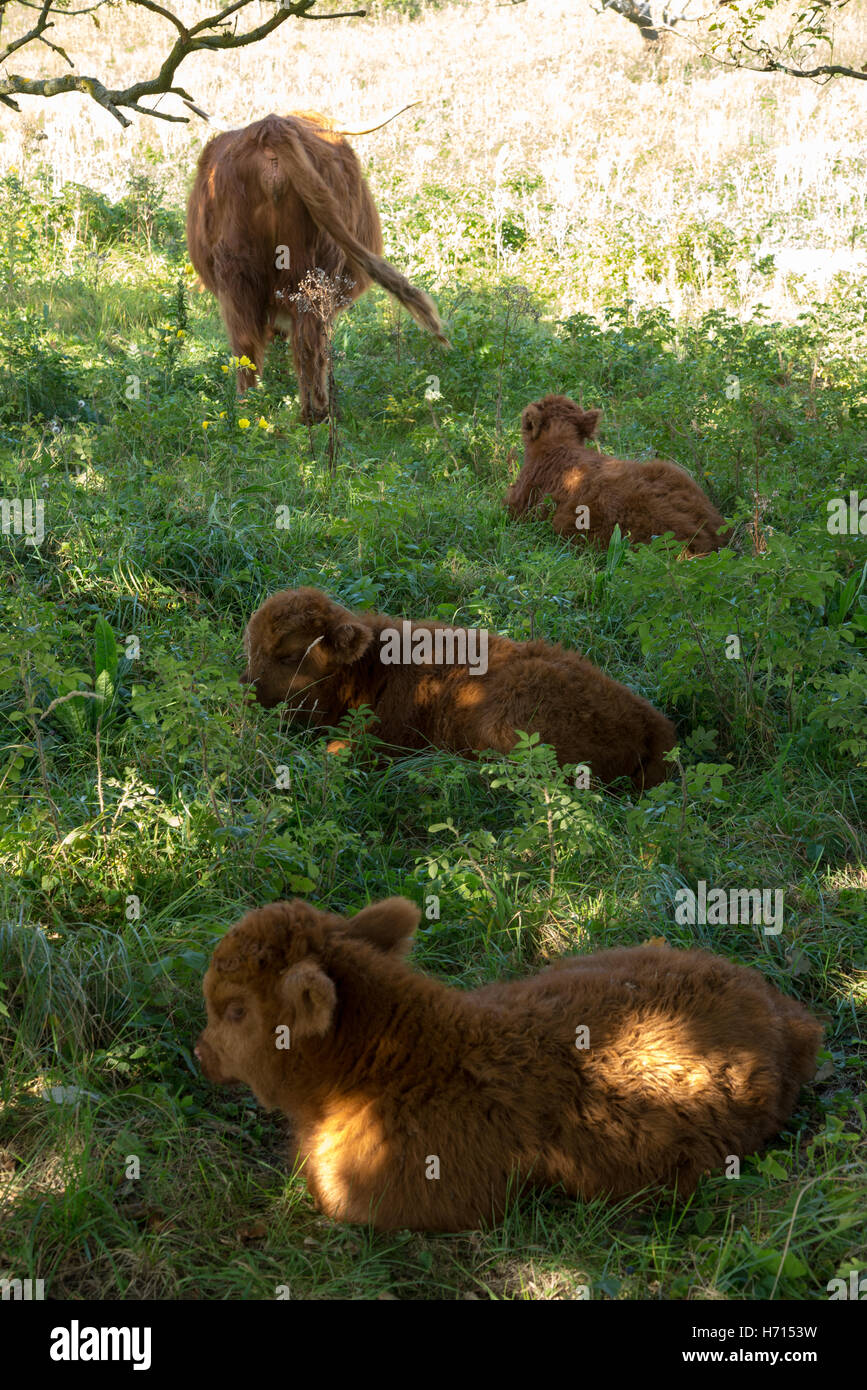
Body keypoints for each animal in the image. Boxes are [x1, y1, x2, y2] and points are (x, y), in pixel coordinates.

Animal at [187, 110, 450, 417]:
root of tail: (272, 129)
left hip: (237, 272)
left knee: (247, 342)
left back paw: (249, 409)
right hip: (312, 270)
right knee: (307, 340)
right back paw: (317, 412)